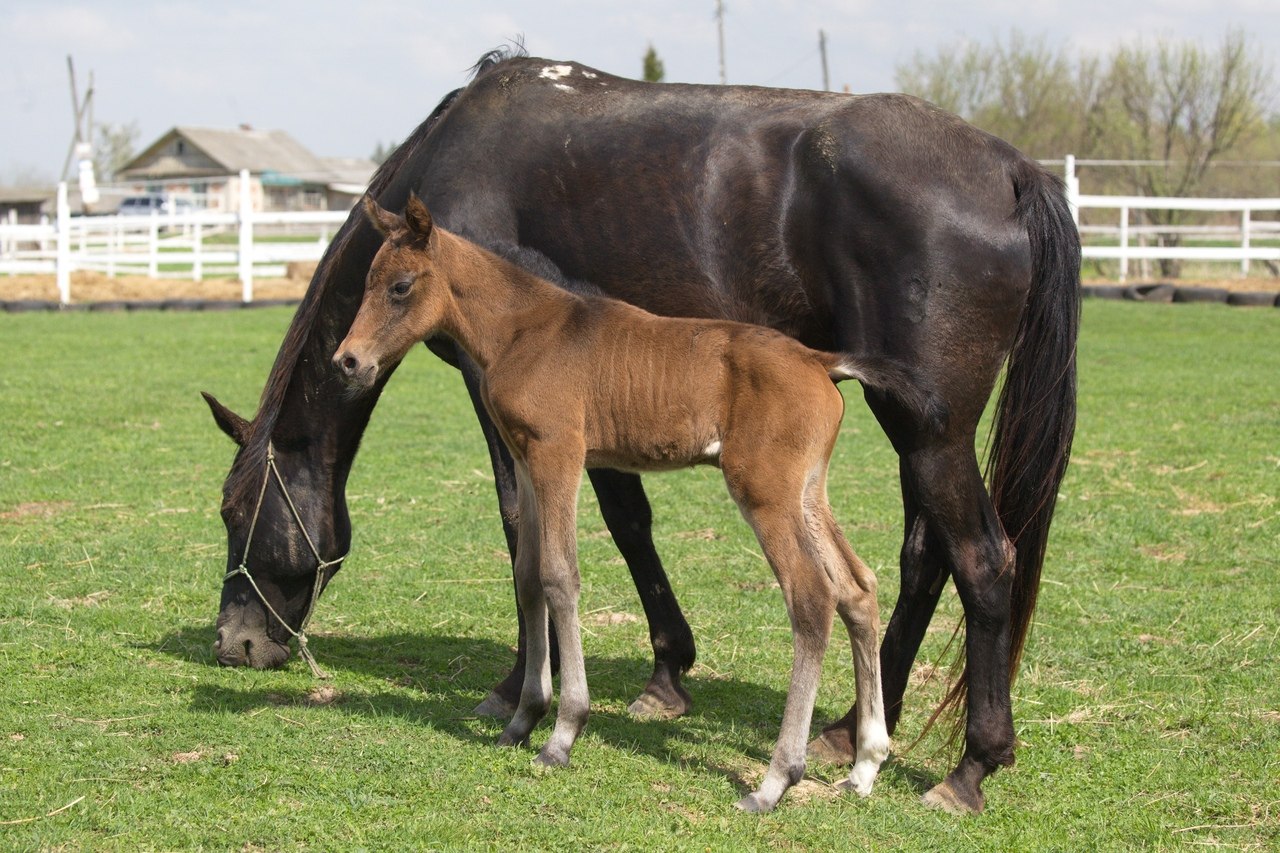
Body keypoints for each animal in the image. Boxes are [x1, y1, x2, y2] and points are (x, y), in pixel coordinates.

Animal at [335, 194, 906, 809]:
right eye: (366, 282)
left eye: (400, 287)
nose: (347, 361)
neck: (522, 330)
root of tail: (820, 361)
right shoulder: (526, 461)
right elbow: (527, 576)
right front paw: (522, 720)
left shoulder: (559, 453)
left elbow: (560, 577)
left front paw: (562, 734)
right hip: (808, 492)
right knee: (857, 588)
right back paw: (864, 767)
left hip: (765, 491)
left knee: (812, 598)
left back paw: (775, 780)